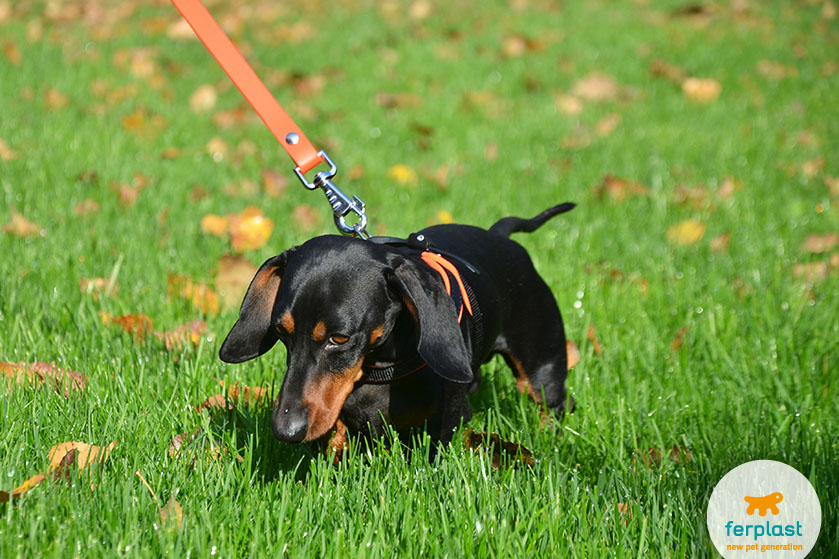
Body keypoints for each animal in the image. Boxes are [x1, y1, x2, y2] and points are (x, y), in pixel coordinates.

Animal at [220, 203, 576, 452]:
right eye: (282, 332)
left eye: (340, 338)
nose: (285, 431)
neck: (381, 368)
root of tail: (500, 236)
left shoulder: (448, 420)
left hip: (542, 369)